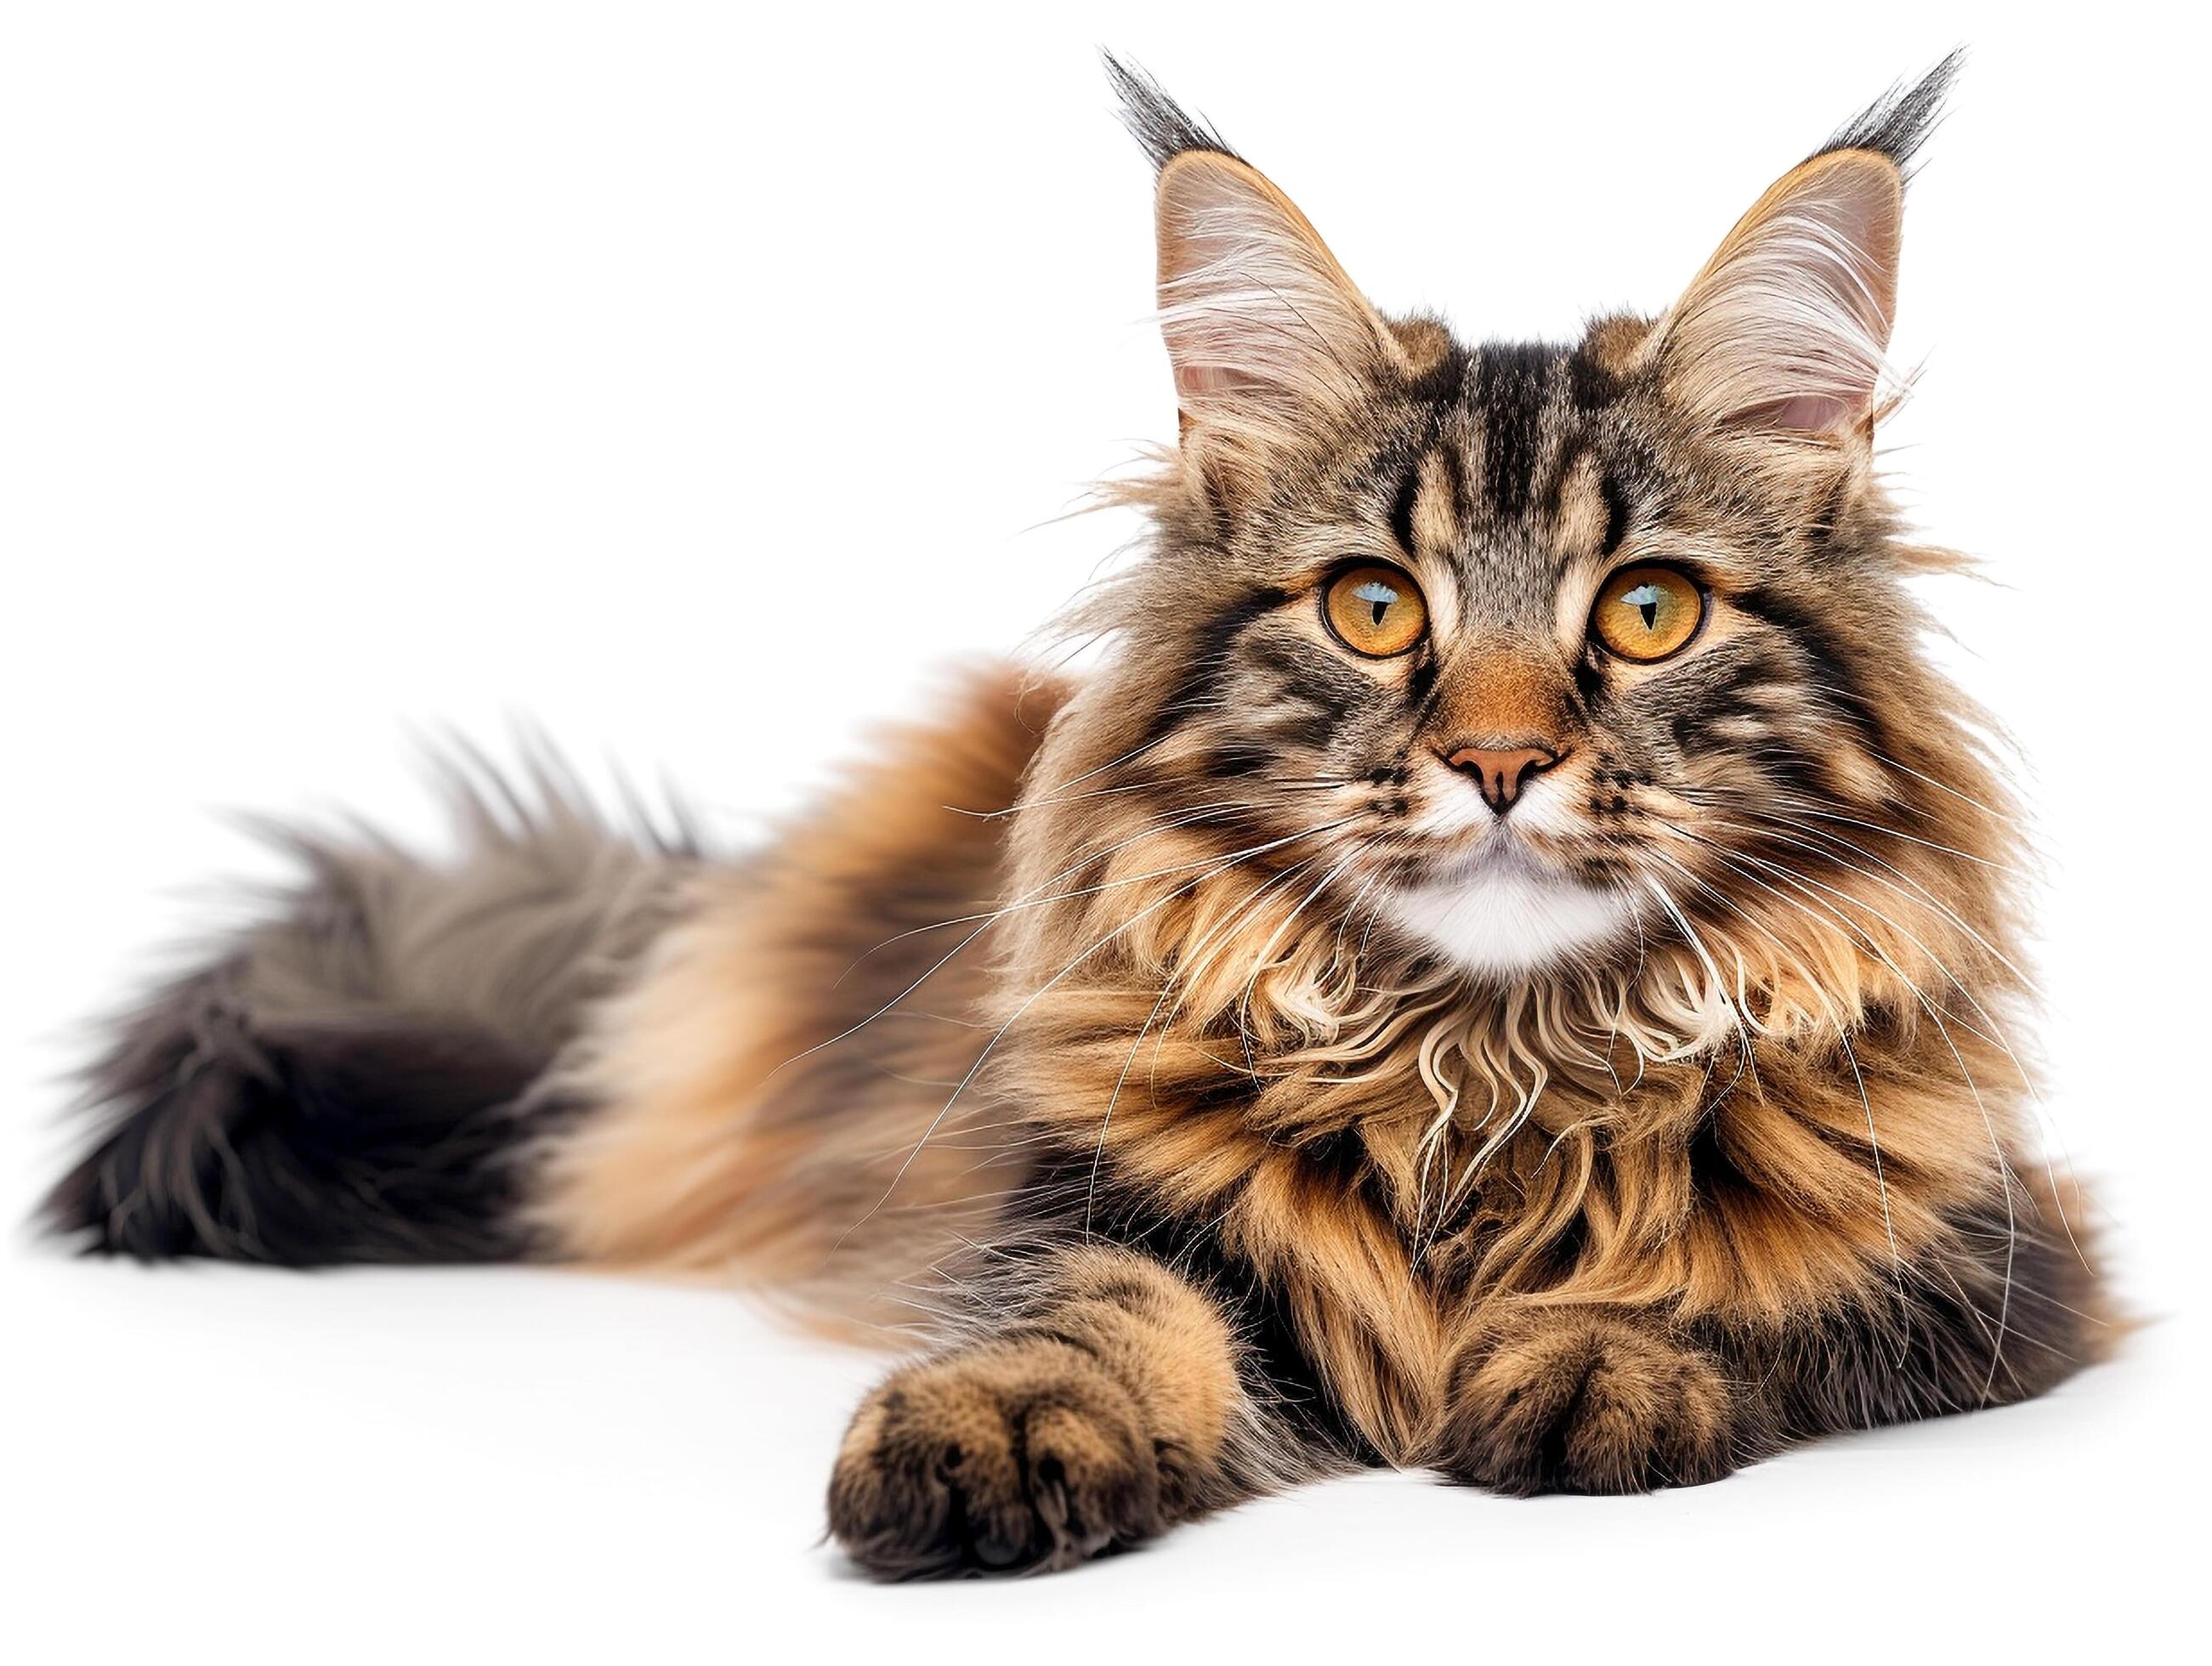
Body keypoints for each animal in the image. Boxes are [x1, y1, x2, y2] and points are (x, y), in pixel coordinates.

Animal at [43, 52, 2096, 1575]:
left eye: (1647, 612)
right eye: (1374, 609)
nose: (1500, 762)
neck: (1486, 1066)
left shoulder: (1991, 1257)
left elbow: (1743, 1281)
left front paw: (1599, 1356)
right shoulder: (1087, 1201)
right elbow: (1095, 1315)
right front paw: (1004, 1431)